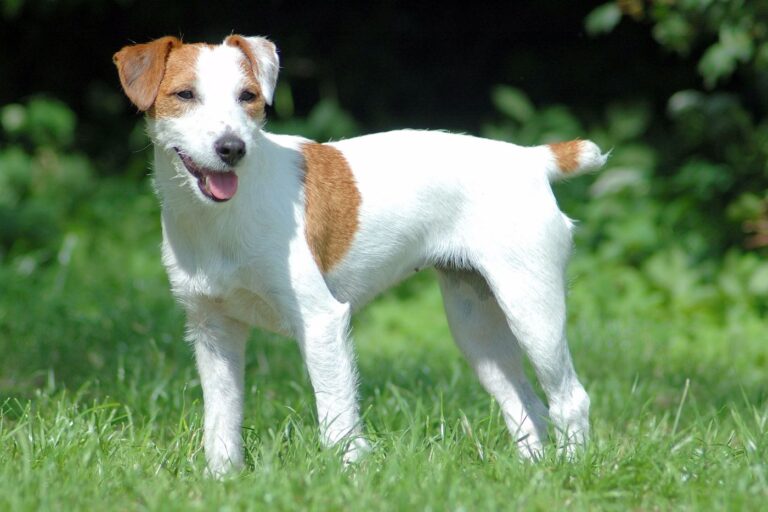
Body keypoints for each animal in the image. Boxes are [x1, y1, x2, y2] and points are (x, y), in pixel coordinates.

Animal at [112, 35, 608, 476]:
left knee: (570, 398)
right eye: (184, 95)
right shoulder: (214, 331)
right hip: (478, 329)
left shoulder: (321, 322)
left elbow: (336, 415)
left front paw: (348, 476)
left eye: (248, 96)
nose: (232, 148)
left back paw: (570, 471)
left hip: (532, 309)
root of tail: (530, 159)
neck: (219, 218)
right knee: (527, 405)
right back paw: (534, 473)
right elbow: (222, 421)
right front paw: (222, 480)